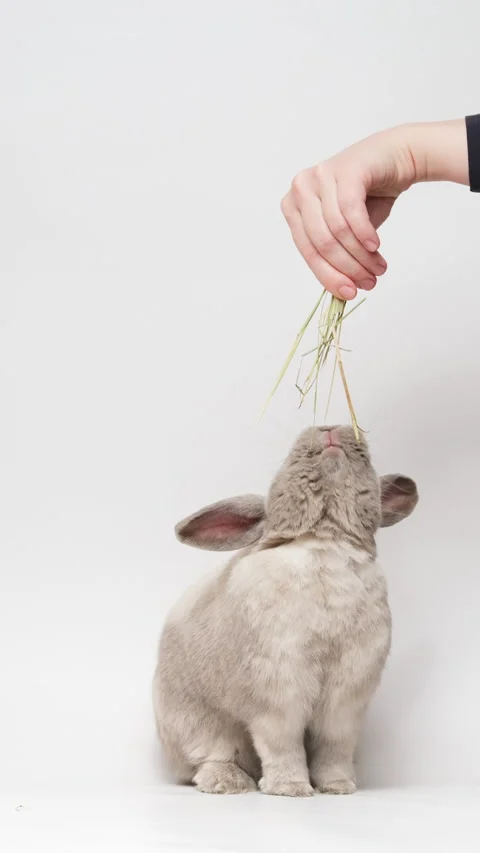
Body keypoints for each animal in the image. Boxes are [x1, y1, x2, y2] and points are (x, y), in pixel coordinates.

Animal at [153, 425, 418, 797]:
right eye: (284, 465)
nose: (329, 430)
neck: (324, 539)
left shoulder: (346, 699)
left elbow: (334, 747)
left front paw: (338, 787)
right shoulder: (278, 691)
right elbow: (282, 743)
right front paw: (290, 788)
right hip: (195, 722)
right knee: (210, 757)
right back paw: (228, 783)